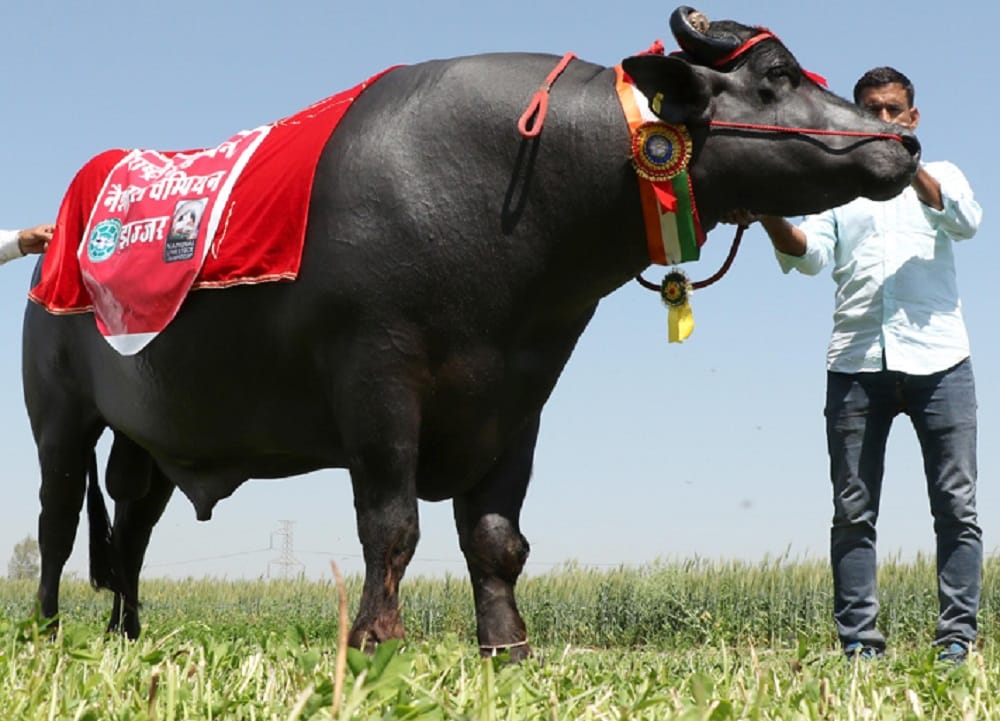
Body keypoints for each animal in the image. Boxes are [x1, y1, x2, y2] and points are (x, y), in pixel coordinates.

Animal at [23, 6, 919, 659]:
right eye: (775, 78)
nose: (902, 143)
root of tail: (57, 242)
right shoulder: (378, 382)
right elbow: (390, 525)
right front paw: (375, 639)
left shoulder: (518, 399)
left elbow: (495, 537)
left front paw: (507, 646)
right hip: (59, 418)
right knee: (58, 524)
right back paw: (47, 629)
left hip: (151, 436)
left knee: (132, 530)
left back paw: (126, 632)